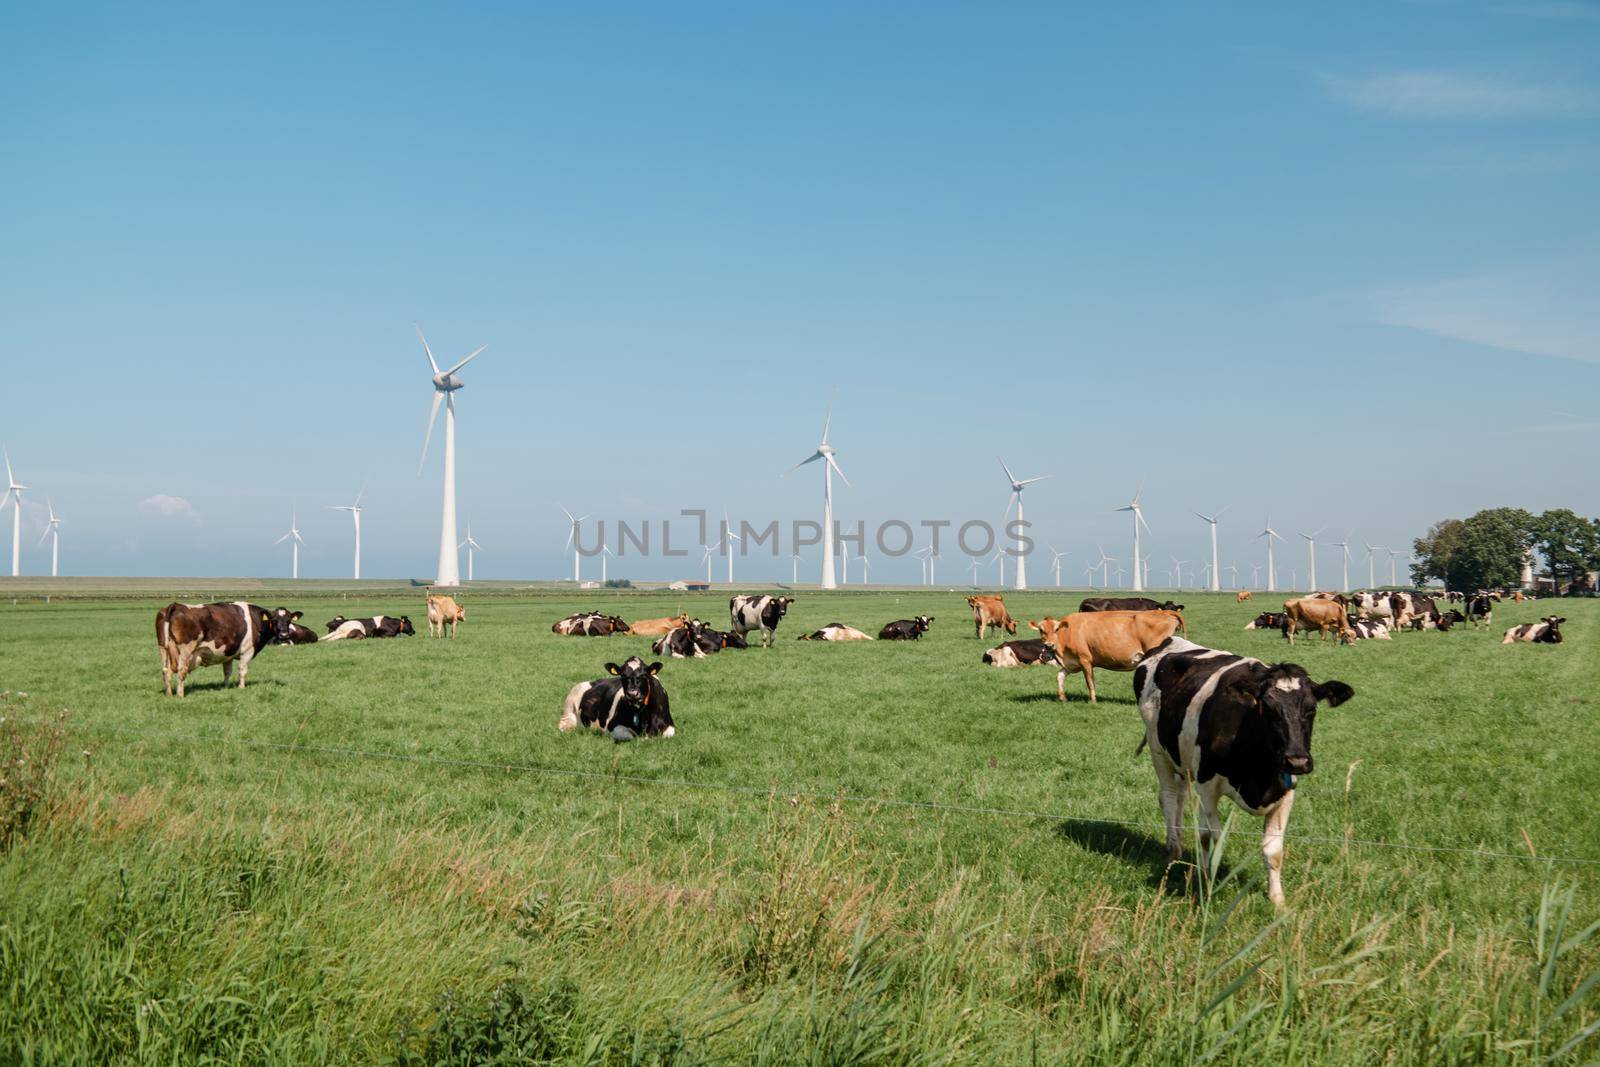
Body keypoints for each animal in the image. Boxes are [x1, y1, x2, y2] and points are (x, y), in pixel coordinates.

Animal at [1139, 639, 1350, 908]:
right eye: (1268, 709)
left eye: (1311, 709)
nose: (1297, 761)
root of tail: (1170, 642)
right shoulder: (1207, 785)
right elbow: (1212, 837)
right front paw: (1206, 883)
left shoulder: (1285, 792)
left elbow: (1273, 850)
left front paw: (1277, 900)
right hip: (1158, 749)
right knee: (1167, 797)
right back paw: (1173, 852)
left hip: (1182, 760)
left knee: (1180, 797)